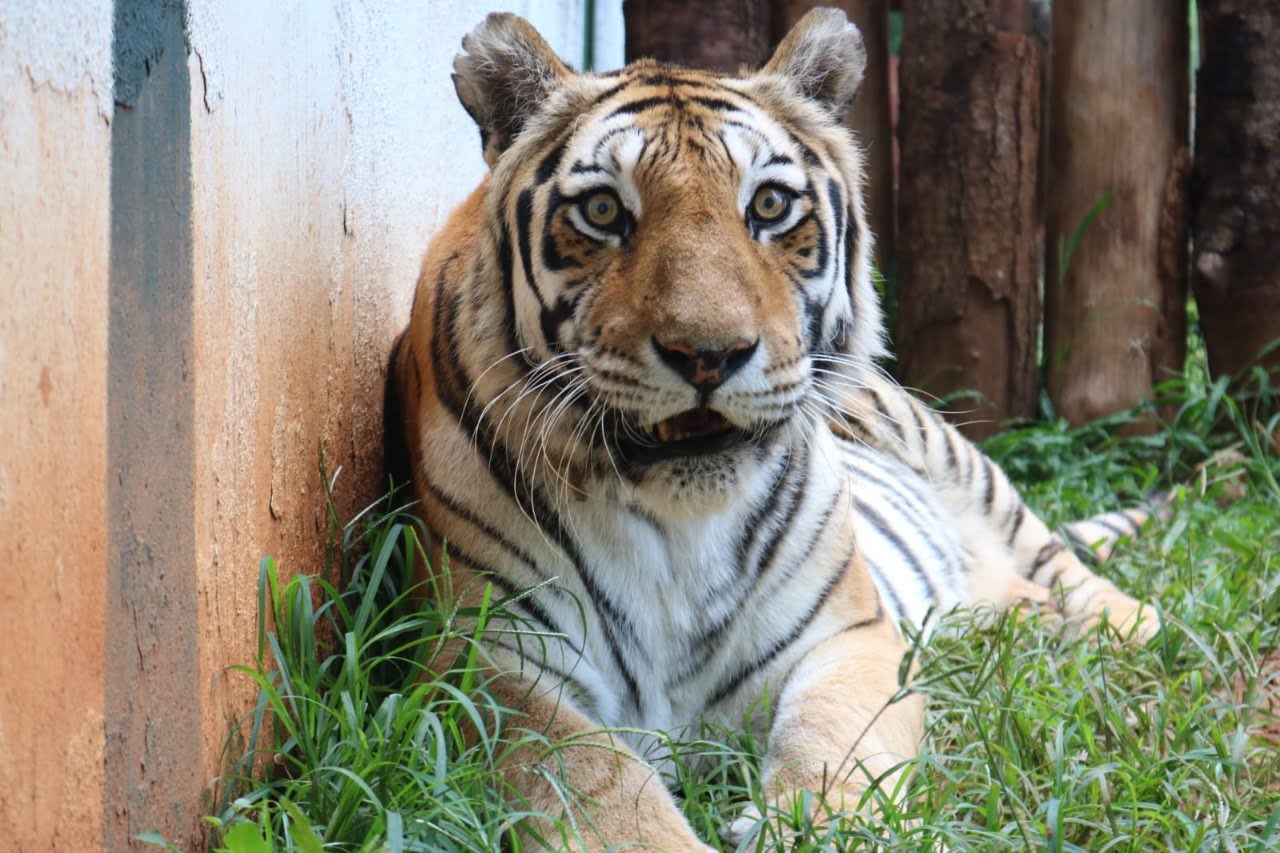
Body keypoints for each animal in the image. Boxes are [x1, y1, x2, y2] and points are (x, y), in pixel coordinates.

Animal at [387, 8, 1161, 850]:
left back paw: (1123, 623)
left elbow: (831, 746)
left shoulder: (847, 633)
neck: (678, 526)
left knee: (1059, 560)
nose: (709, 354)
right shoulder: (489, 666)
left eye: (767, 206)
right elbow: (596, 787)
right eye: (601, 211)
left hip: (947, 451)